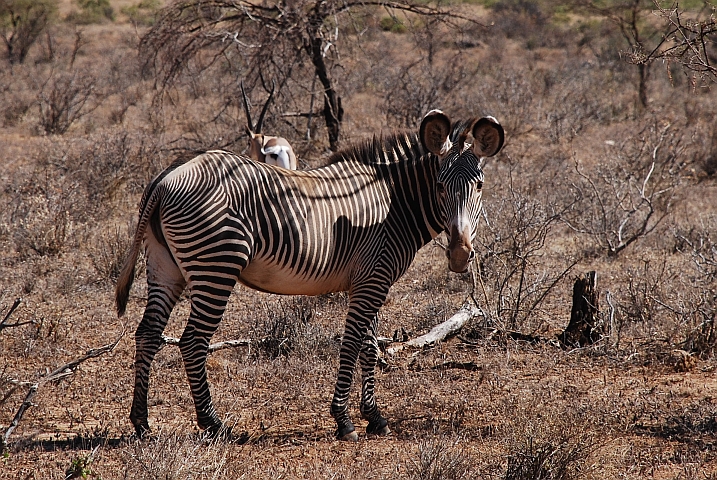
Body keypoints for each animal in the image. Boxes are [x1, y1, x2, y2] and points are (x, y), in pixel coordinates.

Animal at [114, 110, 504, 440]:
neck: (395, 205)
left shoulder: (368, 281)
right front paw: (344, 420)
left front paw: (374, 417)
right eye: (439, 186)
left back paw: (142, 423)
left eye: (480, 186)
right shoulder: (373, 280)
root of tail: (166, 177)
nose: (459, 255)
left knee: (147, 334)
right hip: (216, 265)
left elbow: (369, 345)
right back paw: (214, 424)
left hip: (165, 267)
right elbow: (352, 344)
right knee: (193, 341)